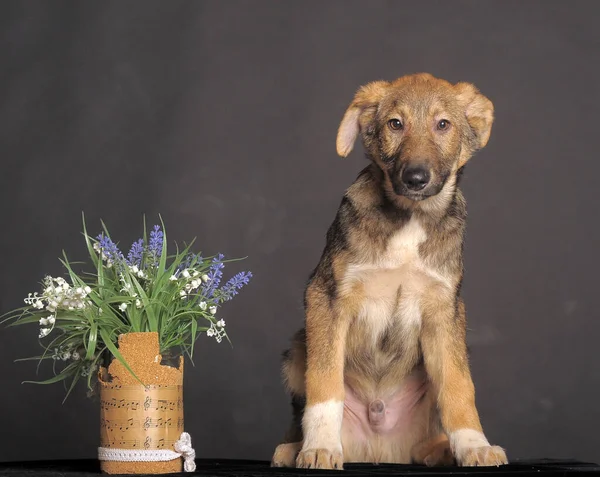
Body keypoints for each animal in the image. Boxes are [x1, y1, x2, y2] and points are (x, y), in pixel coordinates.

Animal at [274, 74, 508, 468]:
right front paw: (320, 446)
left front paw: (474, 445)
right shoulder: (326, 297)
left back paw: (442, 450)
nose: (415, 178)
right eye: (395, 124)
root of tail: (380, 449)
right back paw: (294, 448)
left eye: (443, 124)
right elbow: (325, 381)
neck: (410, 218)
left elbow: (459, 386)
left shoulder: (446, 309)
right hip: (295, 351)